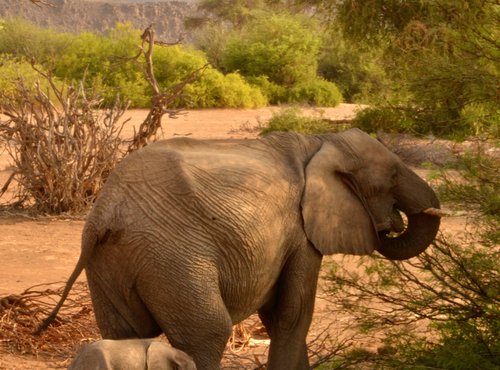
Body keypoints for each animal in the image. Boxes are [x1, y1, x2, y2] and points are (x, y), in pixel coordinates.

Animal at [36, 129, 442, 368]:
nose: (390, 223)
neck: (321, 142)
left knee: (124, 333)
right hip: (172, 255)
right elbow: (292, 315)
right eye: (392, 176)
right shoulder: (300, 231)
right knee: (208, 332)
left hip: (113, 261)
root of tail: (104, 213)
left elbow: (279, 318)